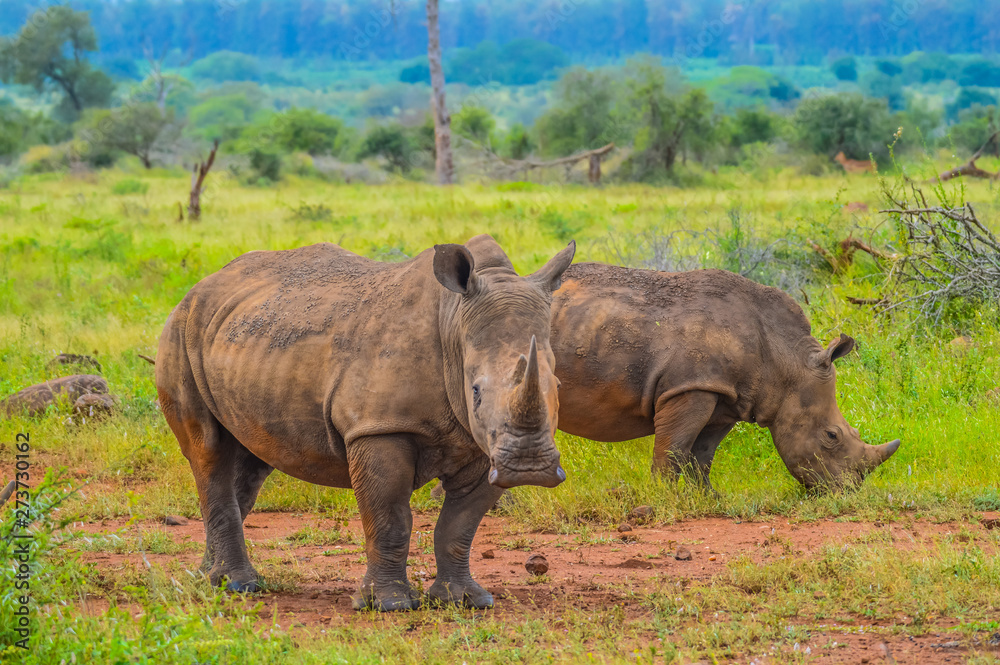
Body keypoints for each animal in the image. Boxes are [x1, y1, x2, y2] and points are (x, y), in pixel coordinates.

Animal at [156, 236, 575, 611]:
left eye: (557, 386)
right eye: (475, 391)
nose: (529, 468)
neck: (454, 321)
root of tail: (199, 286)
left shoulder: (481, 444)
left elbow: (460, 525)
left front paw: (465, 601)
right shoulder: (378, 427)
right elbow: (389, 518)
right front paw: (388, 605)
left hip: (246, 340)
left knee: (250, 459)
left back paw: (208, 578)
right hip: (180, 332)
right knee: (209, 451)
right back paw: (238, 587)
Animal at [550, 264, 900, 490]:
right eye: (831, 436)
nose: (848, 491)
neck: (784, 360)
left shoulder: (727, 396)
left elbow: (702, 454)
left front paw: (706, 498)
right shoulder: (689, 387)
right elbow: (673, 449)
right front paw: (662, 498)